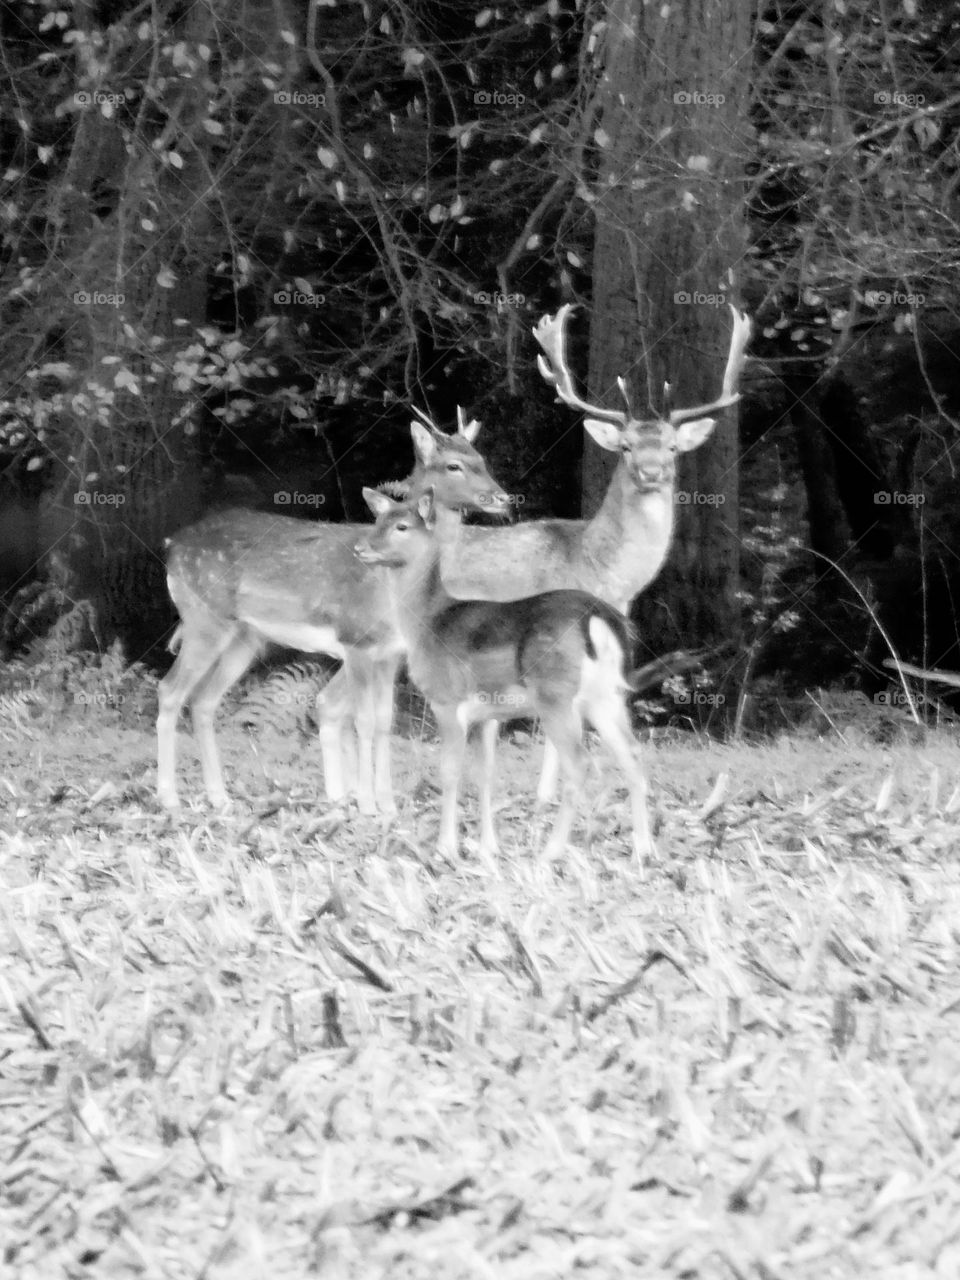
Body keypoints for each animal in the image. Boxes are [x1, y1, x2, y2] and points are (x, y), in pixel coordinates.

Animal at [156, 411, 510, 816]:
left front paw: (386, 804)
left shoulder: (390, 653)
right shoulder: (356, 638)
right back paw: (168, 797)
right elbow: (363, 719)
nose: (503, 497)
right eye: (454, 465)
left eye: (481, 459)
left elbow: (384, 720)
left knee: (203, 701)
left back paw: (219, 796)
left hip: (245, 637)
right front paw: (368, 804)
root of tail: (172, 546)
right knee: (170, 690)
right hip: (204, 619)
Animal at [356, 487, 654, 862]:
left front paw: (446, 848)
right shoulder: (487, 715)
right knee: (632, 753)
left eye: (402, 526)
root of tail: (600, 616)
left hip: (555, 694)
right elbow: (485, 774)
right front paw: (488, 847)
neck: (427, 622)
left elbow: (450, 771)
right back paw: (643, 850)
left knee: (580, 763)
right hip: (605, 695)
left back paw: (552, 851)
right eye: (377, 520)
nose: (361, 548)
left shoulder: (446, 698)